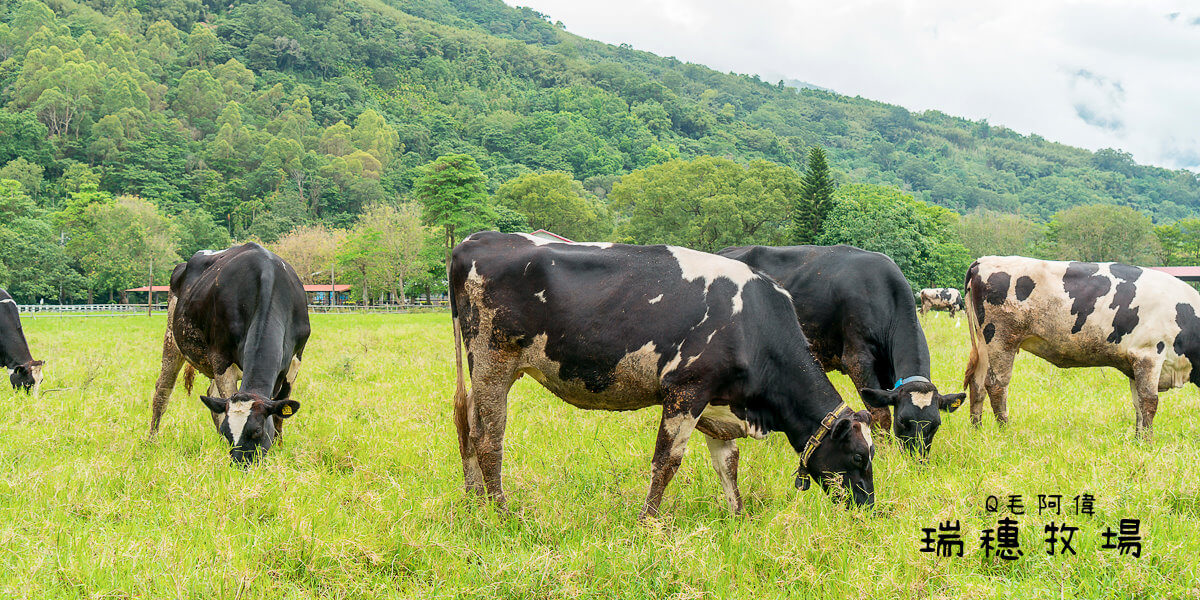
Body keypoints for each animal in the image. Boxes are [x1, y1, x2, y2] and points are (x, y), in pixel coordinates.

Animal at [147, 243, 309, 463]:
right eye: (228, 432)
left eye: (257, 431)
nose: (240, 464)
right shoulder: (221, 359)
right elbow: (224, 405)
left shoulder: (295, 360)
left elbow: (278, 414)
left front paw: (279, 448)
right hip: (172, 338)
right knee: (162, 392)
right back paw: (151, 441)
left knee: (211, 395)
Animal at [453, 231, 878, 518]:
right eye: (858, 456)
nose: (869, 508)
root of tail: (477, 239)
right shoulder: (687, 391)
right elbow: (667, 461)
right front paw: (648, 521)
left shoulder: (717, 403)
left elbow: (728, 463)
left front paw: (737, 516)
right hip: (494, 362)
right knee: (489, 440)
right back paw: (501, 510)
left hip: (485, 371)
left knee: (467, 426)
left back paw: (474, 502)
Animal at [720, 246, 964, 456]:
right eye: (903, 421)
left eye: (935, 425)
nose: (917, 460)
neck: (881, 292)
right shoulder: (857, 359)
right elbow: (880, 414)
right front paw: (883, 451)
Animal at [964, 255, 1200, 439]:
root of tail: (983, 261)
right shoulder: (1149, 354)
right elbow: (1149, 401)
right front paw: (1148, 443)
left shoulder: (1134, 363)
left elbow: (1139, 404)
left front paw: (1138, 439)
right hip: (1001, 339)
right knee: (996, 385)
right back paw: (1005, 431)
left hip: (984, 344)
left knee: (977, 383)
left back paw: (977, 431)